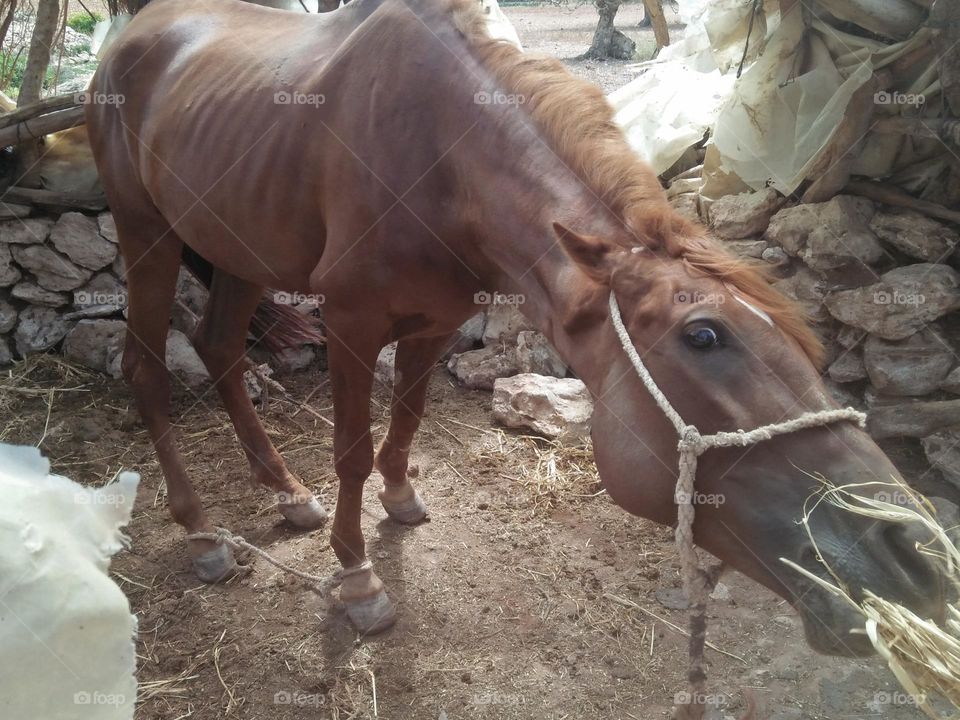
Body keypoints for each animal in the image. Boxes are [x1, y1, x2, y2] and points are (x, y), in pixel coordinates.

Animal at [86, 0, 948, 656]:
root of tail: (133, 32)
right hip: (147, 235)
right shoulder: (353, 321)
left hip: (236, 250)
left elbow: (407, 420)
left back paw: (287, 493)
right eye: (705, 337)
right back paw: (201, 534)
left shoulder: (438, 317)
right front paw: (359, 578)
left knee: (220, 350)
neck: (438, 155)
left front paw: (399, 498)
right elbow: (353, 451)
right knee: (147, 371)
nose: (912, 555)